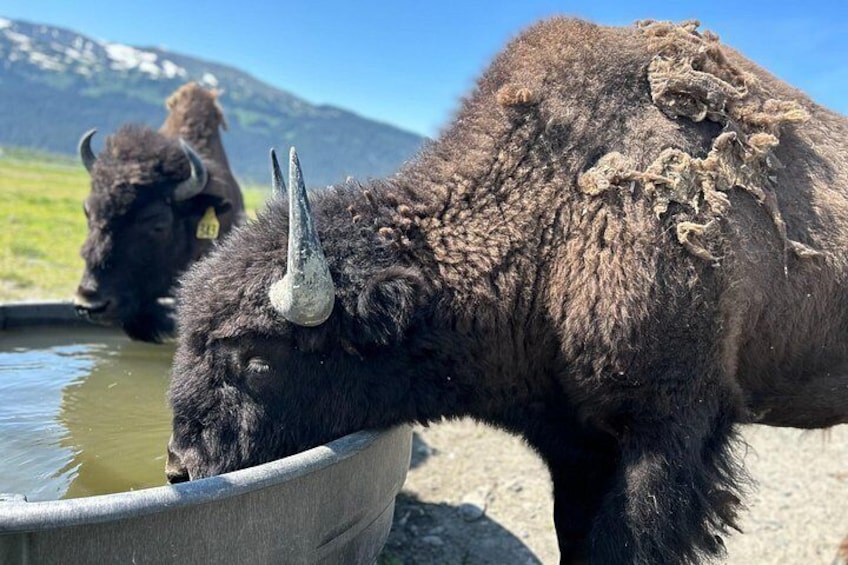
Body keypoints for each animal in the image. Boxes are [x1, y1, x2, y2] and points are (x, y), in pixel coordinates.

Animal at [166, 18, 848, 564]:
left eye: (257, 358)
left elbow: (624, 542)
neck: (552, 212)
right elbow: (574, 536)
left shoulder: (668, 429)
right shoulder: (573, 445)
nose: (180, 467)